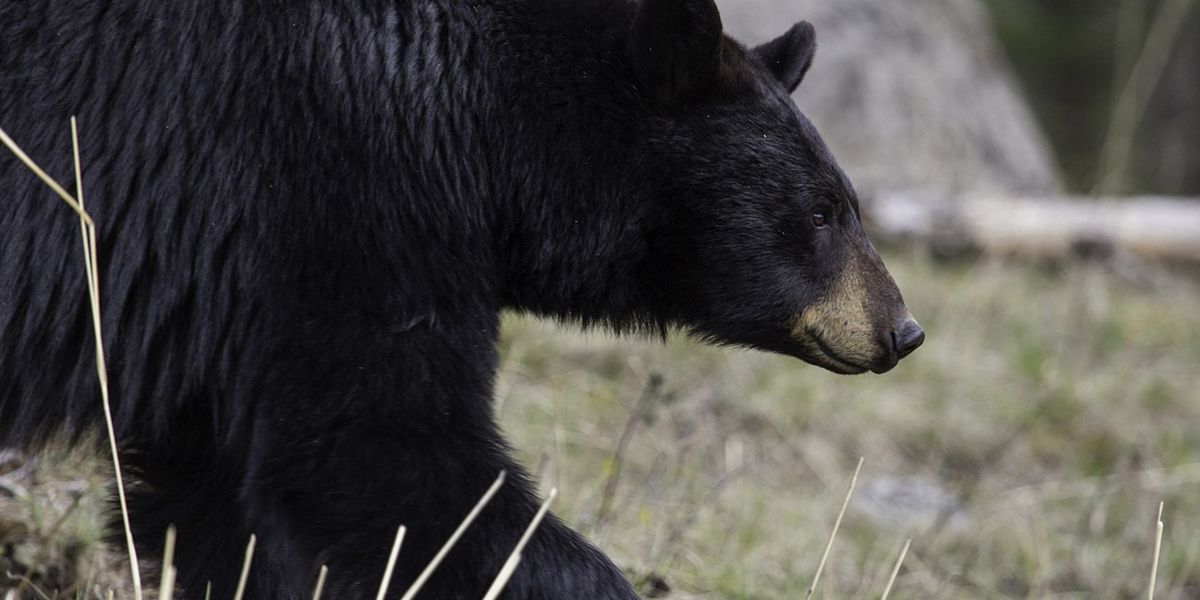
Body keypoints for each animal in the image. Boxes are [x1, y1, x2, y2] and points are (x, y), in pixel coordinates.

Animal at [0, 0, 923, 598]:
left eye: (848, 202)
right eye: (821, 211)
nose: (903, 330)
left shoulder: (227, 305)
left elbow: (219, 498)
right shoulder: (331, 197)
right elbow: (386, 456)